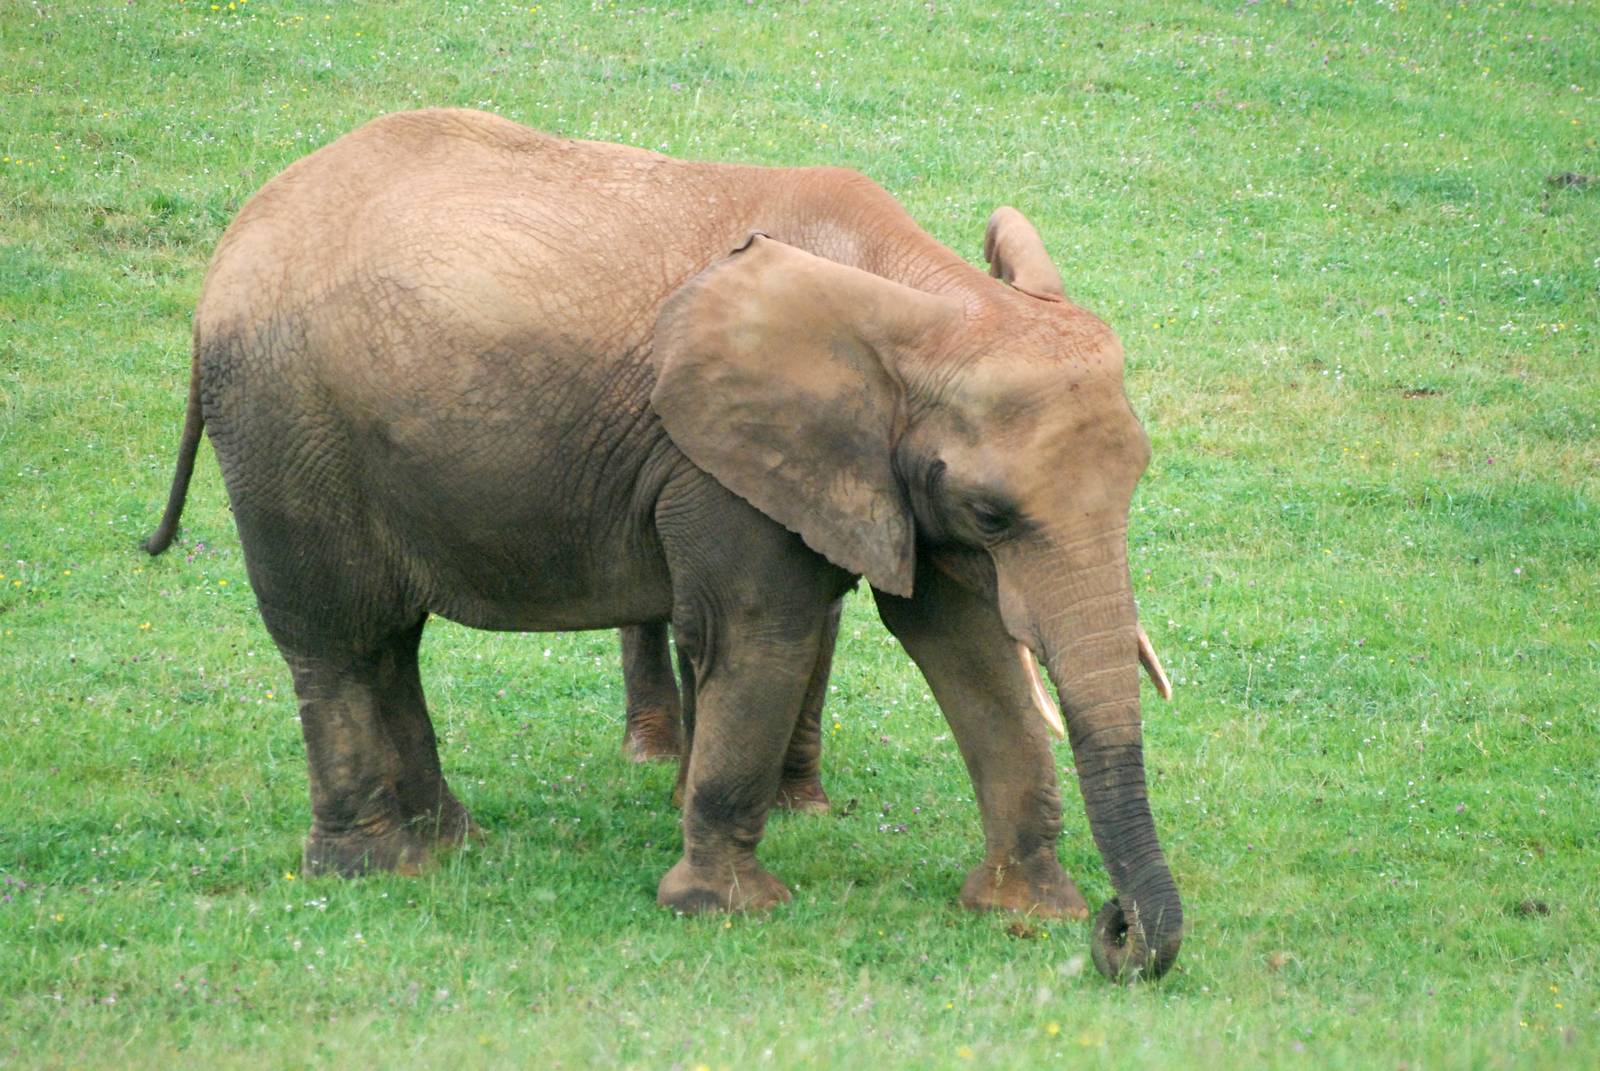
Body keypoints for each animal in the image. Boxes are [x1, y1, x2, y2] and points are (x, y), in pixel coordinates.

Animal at [142, 108, 1181, 981]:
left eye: (1138, 477)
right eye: (994, 513)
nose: (1118, 932)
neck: (922, 294)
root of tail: (233, 244)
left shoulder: (875, 470)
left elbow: (962, 648)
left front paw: (1027, 912)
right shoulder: (721, 459)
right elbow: (760, 634)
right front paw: (727, 910)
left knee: (389, 643)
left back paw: (451, 844)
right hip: (286, 426)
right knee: (336, 640)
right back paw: (371, 866)